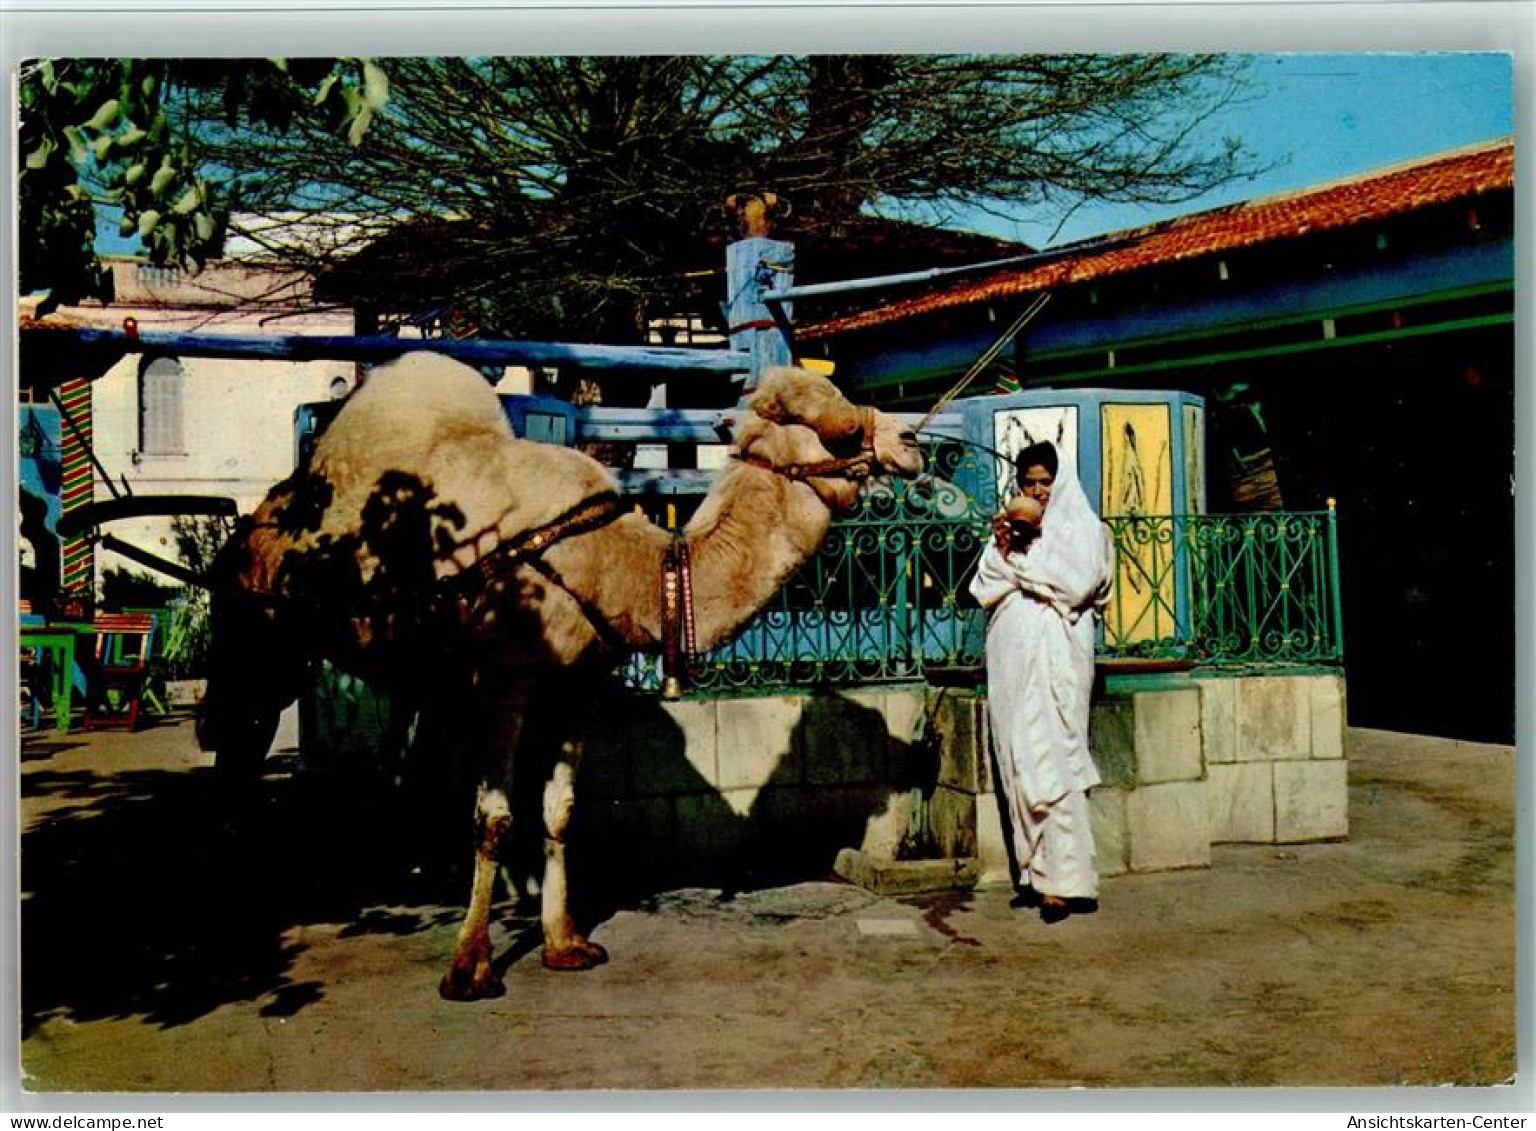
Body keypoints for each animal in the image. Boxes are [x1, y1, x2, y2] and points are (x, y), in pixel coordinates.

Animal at [202, 351, 921, 995]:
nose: (912, 440)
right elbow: (493, 817)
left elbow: (561, 808)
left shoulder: (578, 685)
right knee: (237, 747)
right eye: (841, 429)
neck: (619, 566)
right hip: (258, 630)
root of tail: (260, 514)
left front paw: (565, 943)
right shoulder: (505, 676)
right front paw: (471, 968)